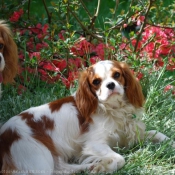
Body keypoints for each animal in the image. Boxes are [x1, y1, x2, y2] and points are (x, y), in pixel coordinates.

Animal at [0, 59, 174, 174]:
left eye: (117, 75)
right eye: (96, 82)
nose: (110, 85)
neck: (113, 109)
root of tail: (5, 133)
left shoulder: (128, 136)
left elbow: (157, 134)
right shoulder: (94, 143)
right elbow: (120, 158)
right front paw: (103, 166)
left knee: (62, 169)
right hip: (39, 157)